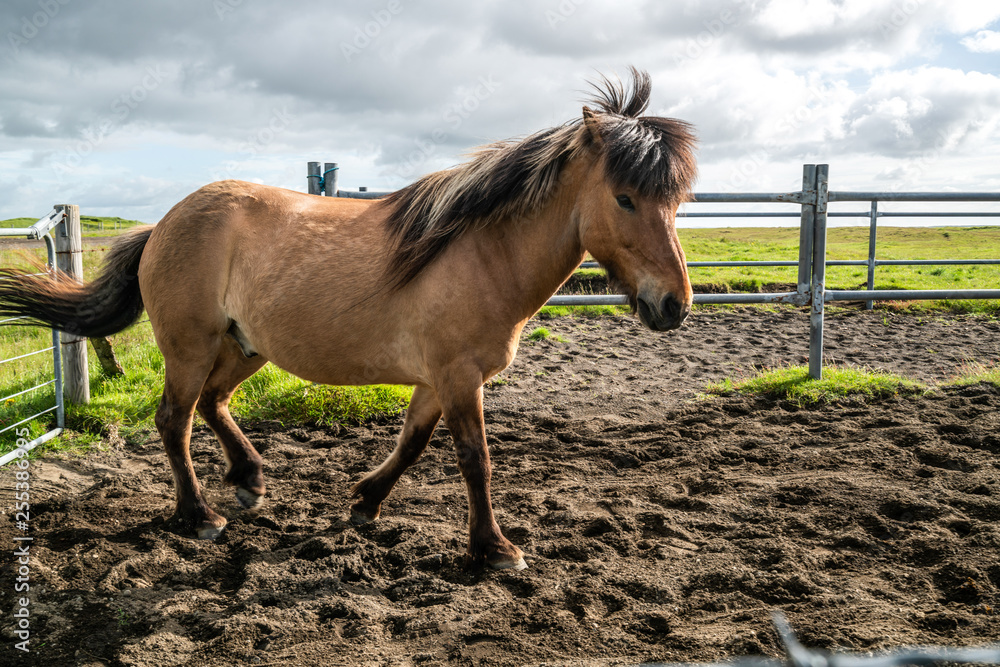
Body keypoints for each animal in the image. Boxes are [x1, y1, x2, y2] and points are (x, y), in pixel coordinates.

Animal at [0, 68, 696, 572]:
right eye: (624, 198)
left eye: (675, 200)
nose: (674, 305)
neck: (481, 252)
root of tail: (164, 223)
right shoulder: (458, 376)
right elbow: (474, 458)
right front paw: (495, 550)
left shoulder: (437, 381)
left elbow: (411, 443)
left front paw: (364, 502)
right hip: (190, 346)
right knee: (175, 419)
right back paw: (199, 517)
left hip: (244, 347)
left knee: (213, 404)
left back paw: (250, 481)